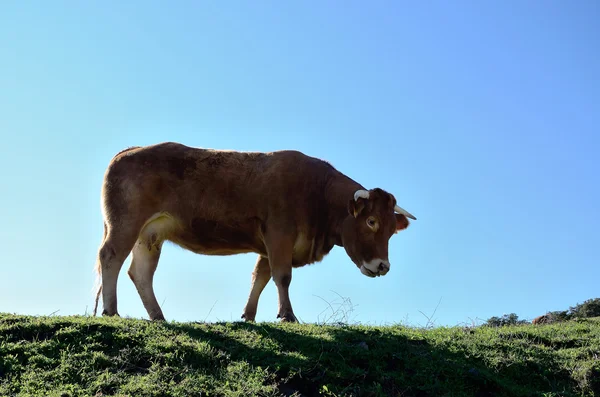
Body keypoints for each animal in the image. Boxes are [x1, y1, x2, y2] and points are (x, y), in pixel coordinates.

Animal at [91, 142, 418, 322]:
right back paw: (111, 311)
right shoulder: (279, 235)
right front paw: (287, 315)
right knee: (111, 257)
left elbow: (260, 276)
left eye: (392, 230)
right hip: (126, 223)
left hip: (150, 235)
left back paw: (159, 316)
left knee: (141, 272)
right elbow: (282, 276)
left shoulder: (268, 245)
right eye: (371, 221)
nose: (382, 266)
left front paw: (248, 316)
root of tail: (130, 151)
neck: (318, 194)